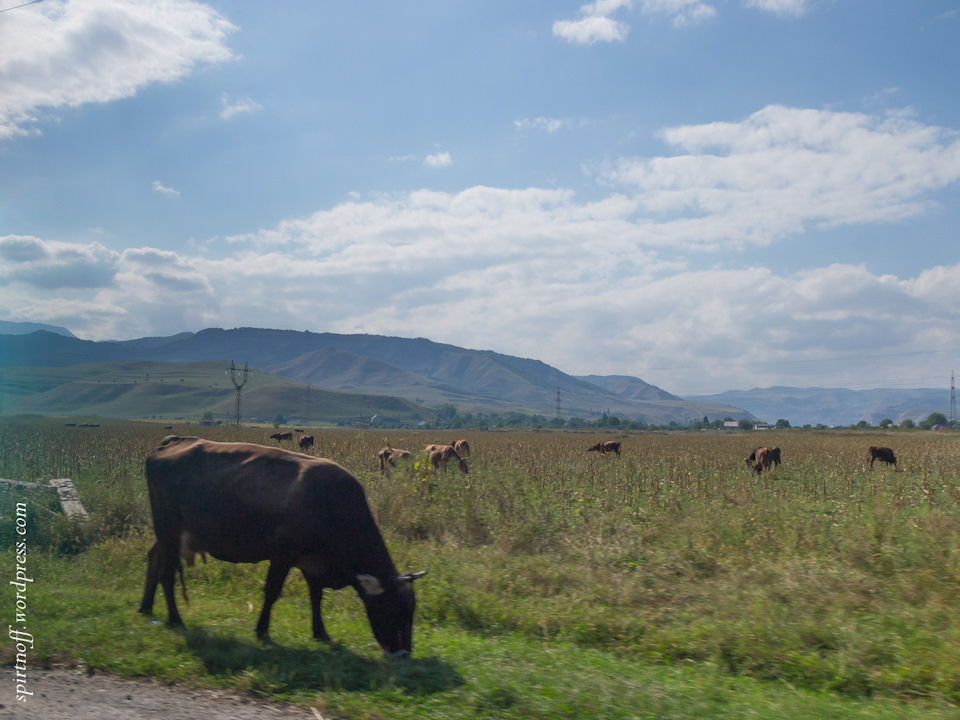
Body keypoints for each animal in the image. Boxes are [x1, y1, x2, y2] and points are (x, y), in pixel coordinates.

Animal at [141, 434, 426, 660]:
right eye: (397, 609)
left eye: (412, 610)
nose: (404, 655)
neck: (330, 503)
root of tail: (171, 442)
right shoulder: (282, 556)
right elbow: (272, 592)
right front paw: (262, 631)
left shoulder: (314, 564)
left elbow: (316, 597)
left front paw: (320, 633)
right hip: (168, 526)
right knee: (167, 573)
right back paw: (175, 619)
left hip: (171, 534)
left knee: (154, 558)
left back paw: (146, 607)